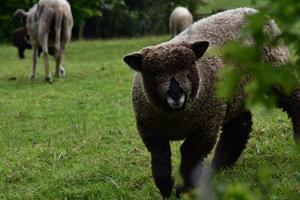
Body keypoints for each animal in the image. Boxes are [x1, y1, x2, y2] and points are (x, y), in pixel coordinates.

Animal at [122, 7, 300, 198]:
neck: (176, 118)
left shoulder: (206, 128)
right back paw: (219, 168)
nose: (176, 95)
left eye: (188, 67)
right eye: (154, 73)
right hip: (233, 94)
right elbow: (160, 159)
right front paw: (166, 190)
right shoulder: (151, 132)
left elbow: (189, 156)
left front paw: (184, 191)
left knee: (294, 101)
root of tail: (252, 10)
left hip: (276, 72)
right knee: (239, 127)